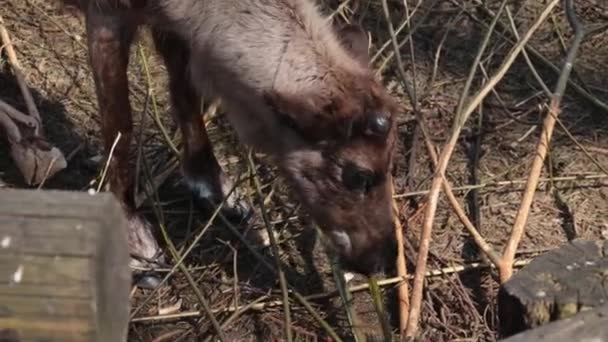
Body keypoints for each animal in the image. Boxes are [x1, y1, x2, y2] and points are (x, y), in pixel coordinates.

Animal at [61, 0, 402, 280]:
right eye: (358, 175)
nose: (383, 259)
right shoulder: (107, 13)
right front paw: (134, 238)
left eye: (391, 159)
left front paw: (213, 185)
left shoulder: (174, 26)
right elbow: (120, 126)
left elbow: (186, 93)